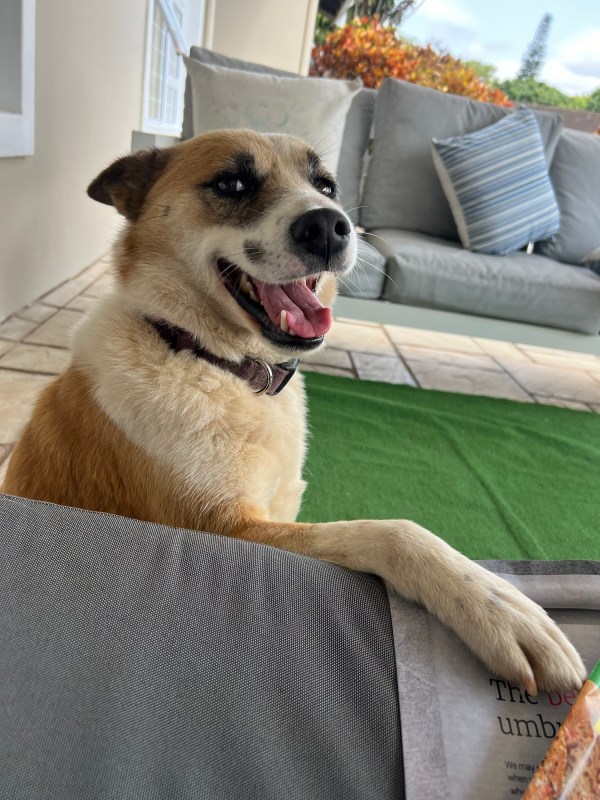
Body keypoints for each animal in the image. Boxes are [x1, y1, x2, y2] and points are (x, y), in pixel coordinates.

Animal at [3, 129, 585, 694]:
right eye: (232, 183)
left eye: (326, 186)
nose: (330, 227)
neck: (212, 361)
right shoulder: (225, 528)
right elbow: (392, 531)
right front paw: (502, 607)